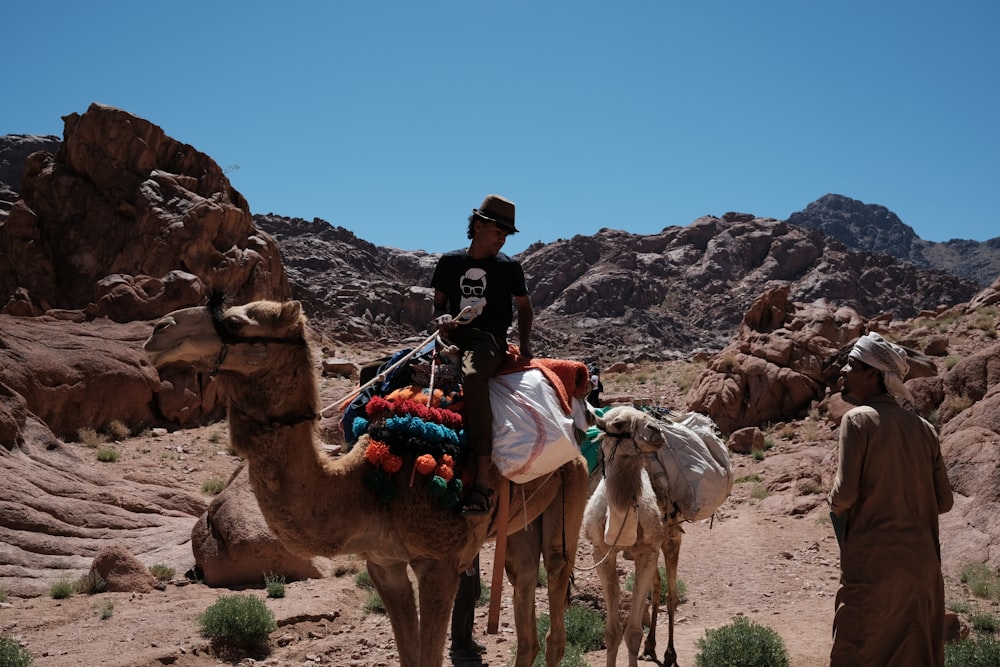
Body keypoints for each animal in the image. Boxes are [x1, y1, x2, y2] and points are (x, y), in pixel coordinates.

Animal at [145, 302, 588, 667]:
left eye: (237, 321)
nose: (158, 329)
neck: (365, 486)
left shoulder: (439, 562)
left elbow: (429, 657)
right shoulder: (383, 562)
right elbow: (409, 657)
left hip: (574, 482)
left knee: (556, 586)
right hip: (519, 520)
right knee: (524, 583)